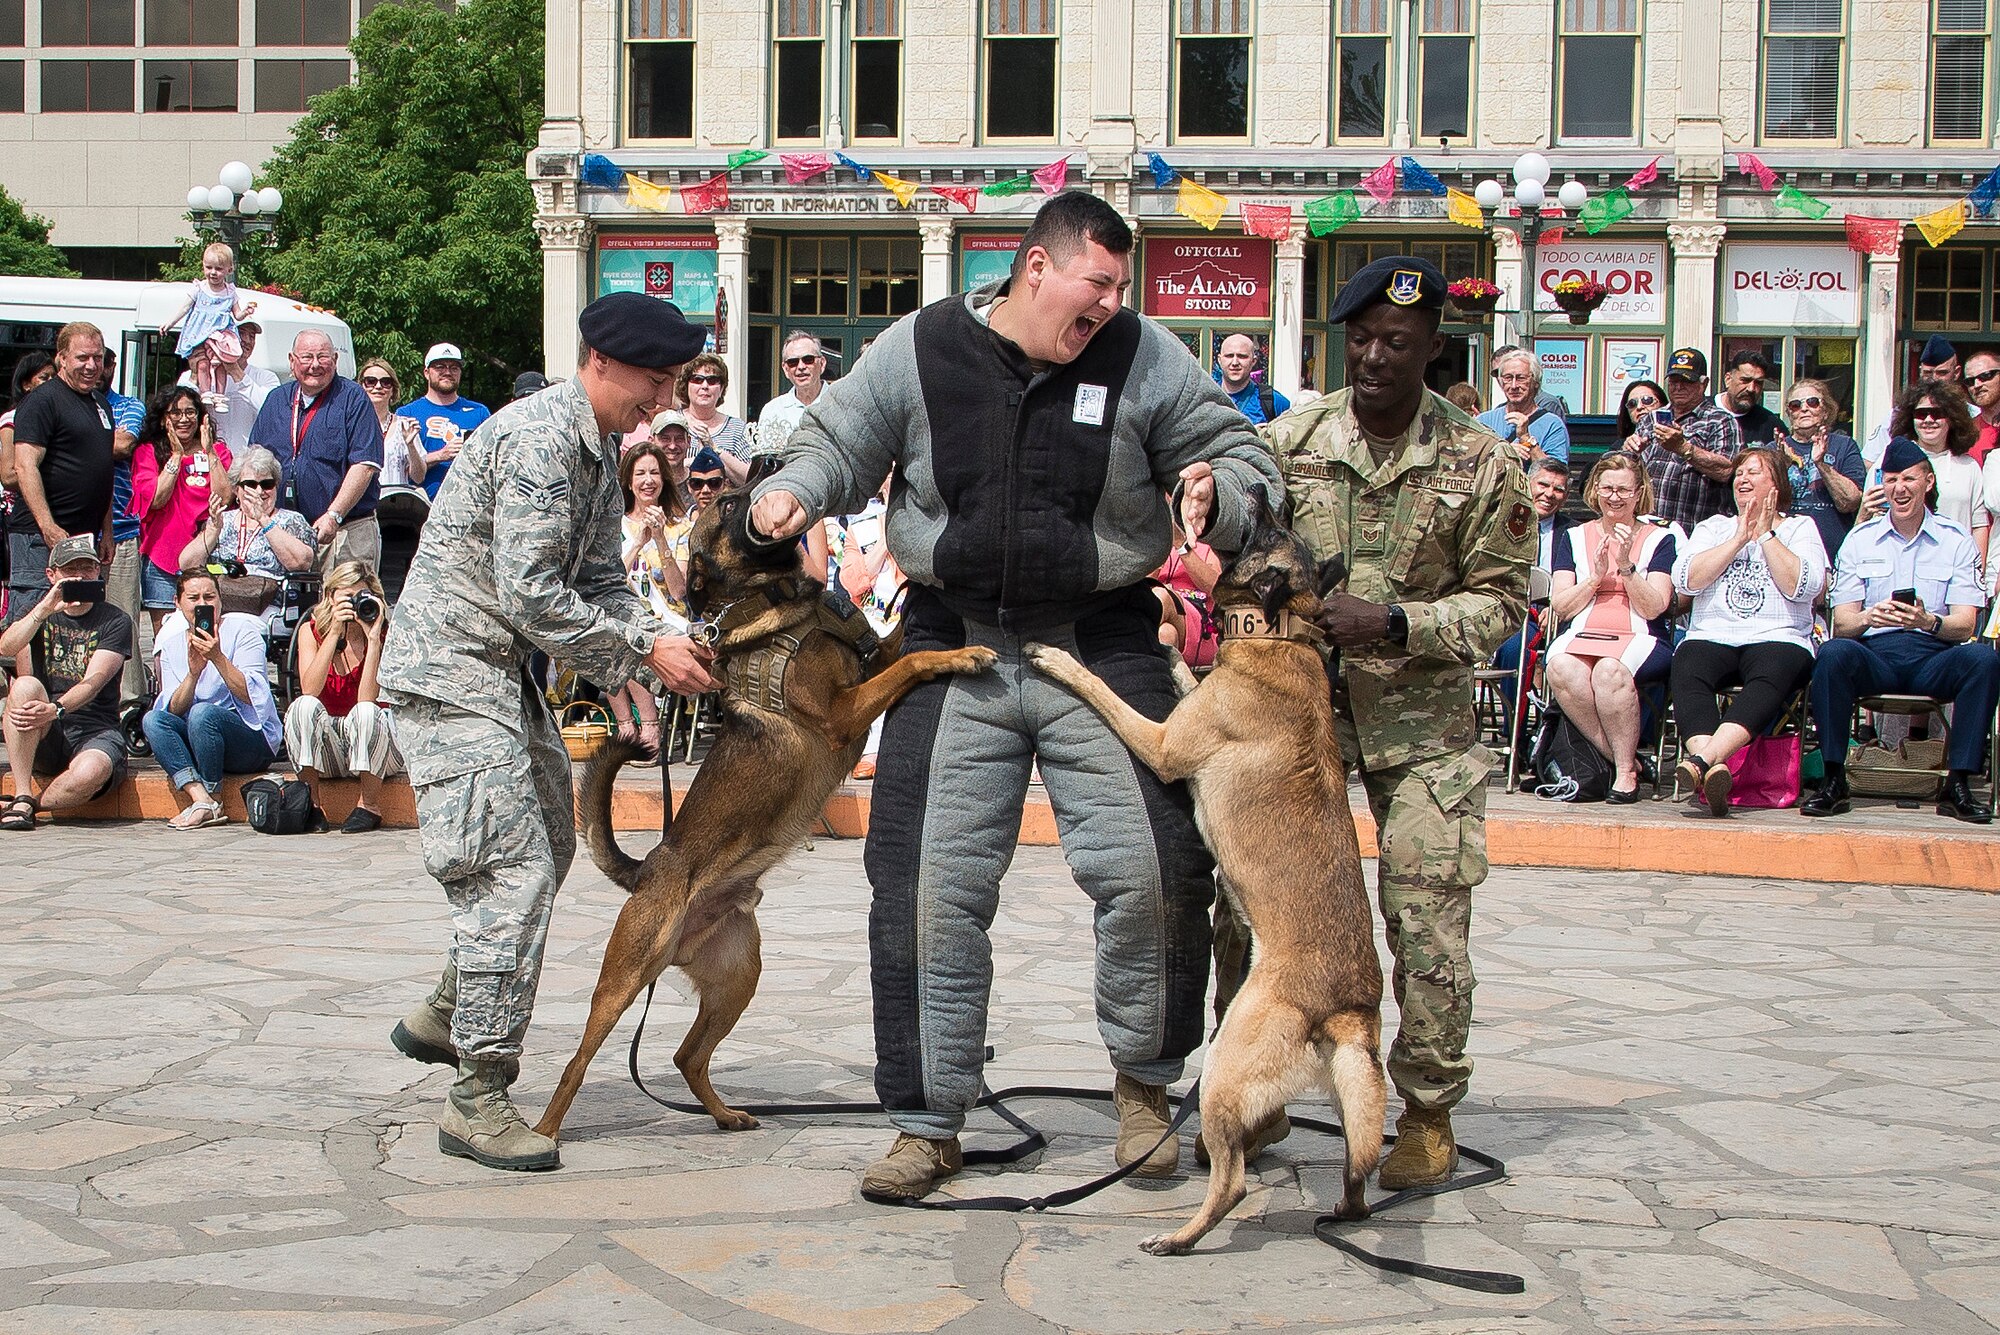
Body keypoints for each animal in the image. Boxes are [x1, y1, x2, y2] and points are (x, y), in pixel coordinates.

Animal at [536, 473, 996, 1143]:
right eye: (728, 503)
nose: (763, 461)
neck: (773, 604)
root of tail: (649, 872)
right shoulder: (843, 712)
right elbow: (912, 659)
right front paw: (962, 655)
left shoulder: (869, 664)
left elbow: (896, 639)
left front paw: (915, 592)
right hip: (624, 980)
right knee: (579, 1060)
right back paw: (541, 1133)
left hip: (739, 978)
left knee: (687, 1056)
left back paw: (724, 1114)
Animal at [1024, 489, 1384, 1255]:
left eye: (1266, 528)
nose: (1259, 491)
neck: (1283, 635)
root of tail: (1349, 1007)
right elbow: (1188, 670)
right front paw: (1170, 642)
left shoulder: (1161, 743)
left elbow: (1104, 690)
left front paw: (1059, 659)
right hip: (1347, 1089)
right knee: (1356, 1168)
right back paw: (1343, 1211)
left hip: (1224, 1066)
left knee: (1234, 1180)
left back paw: (1180, 1237)